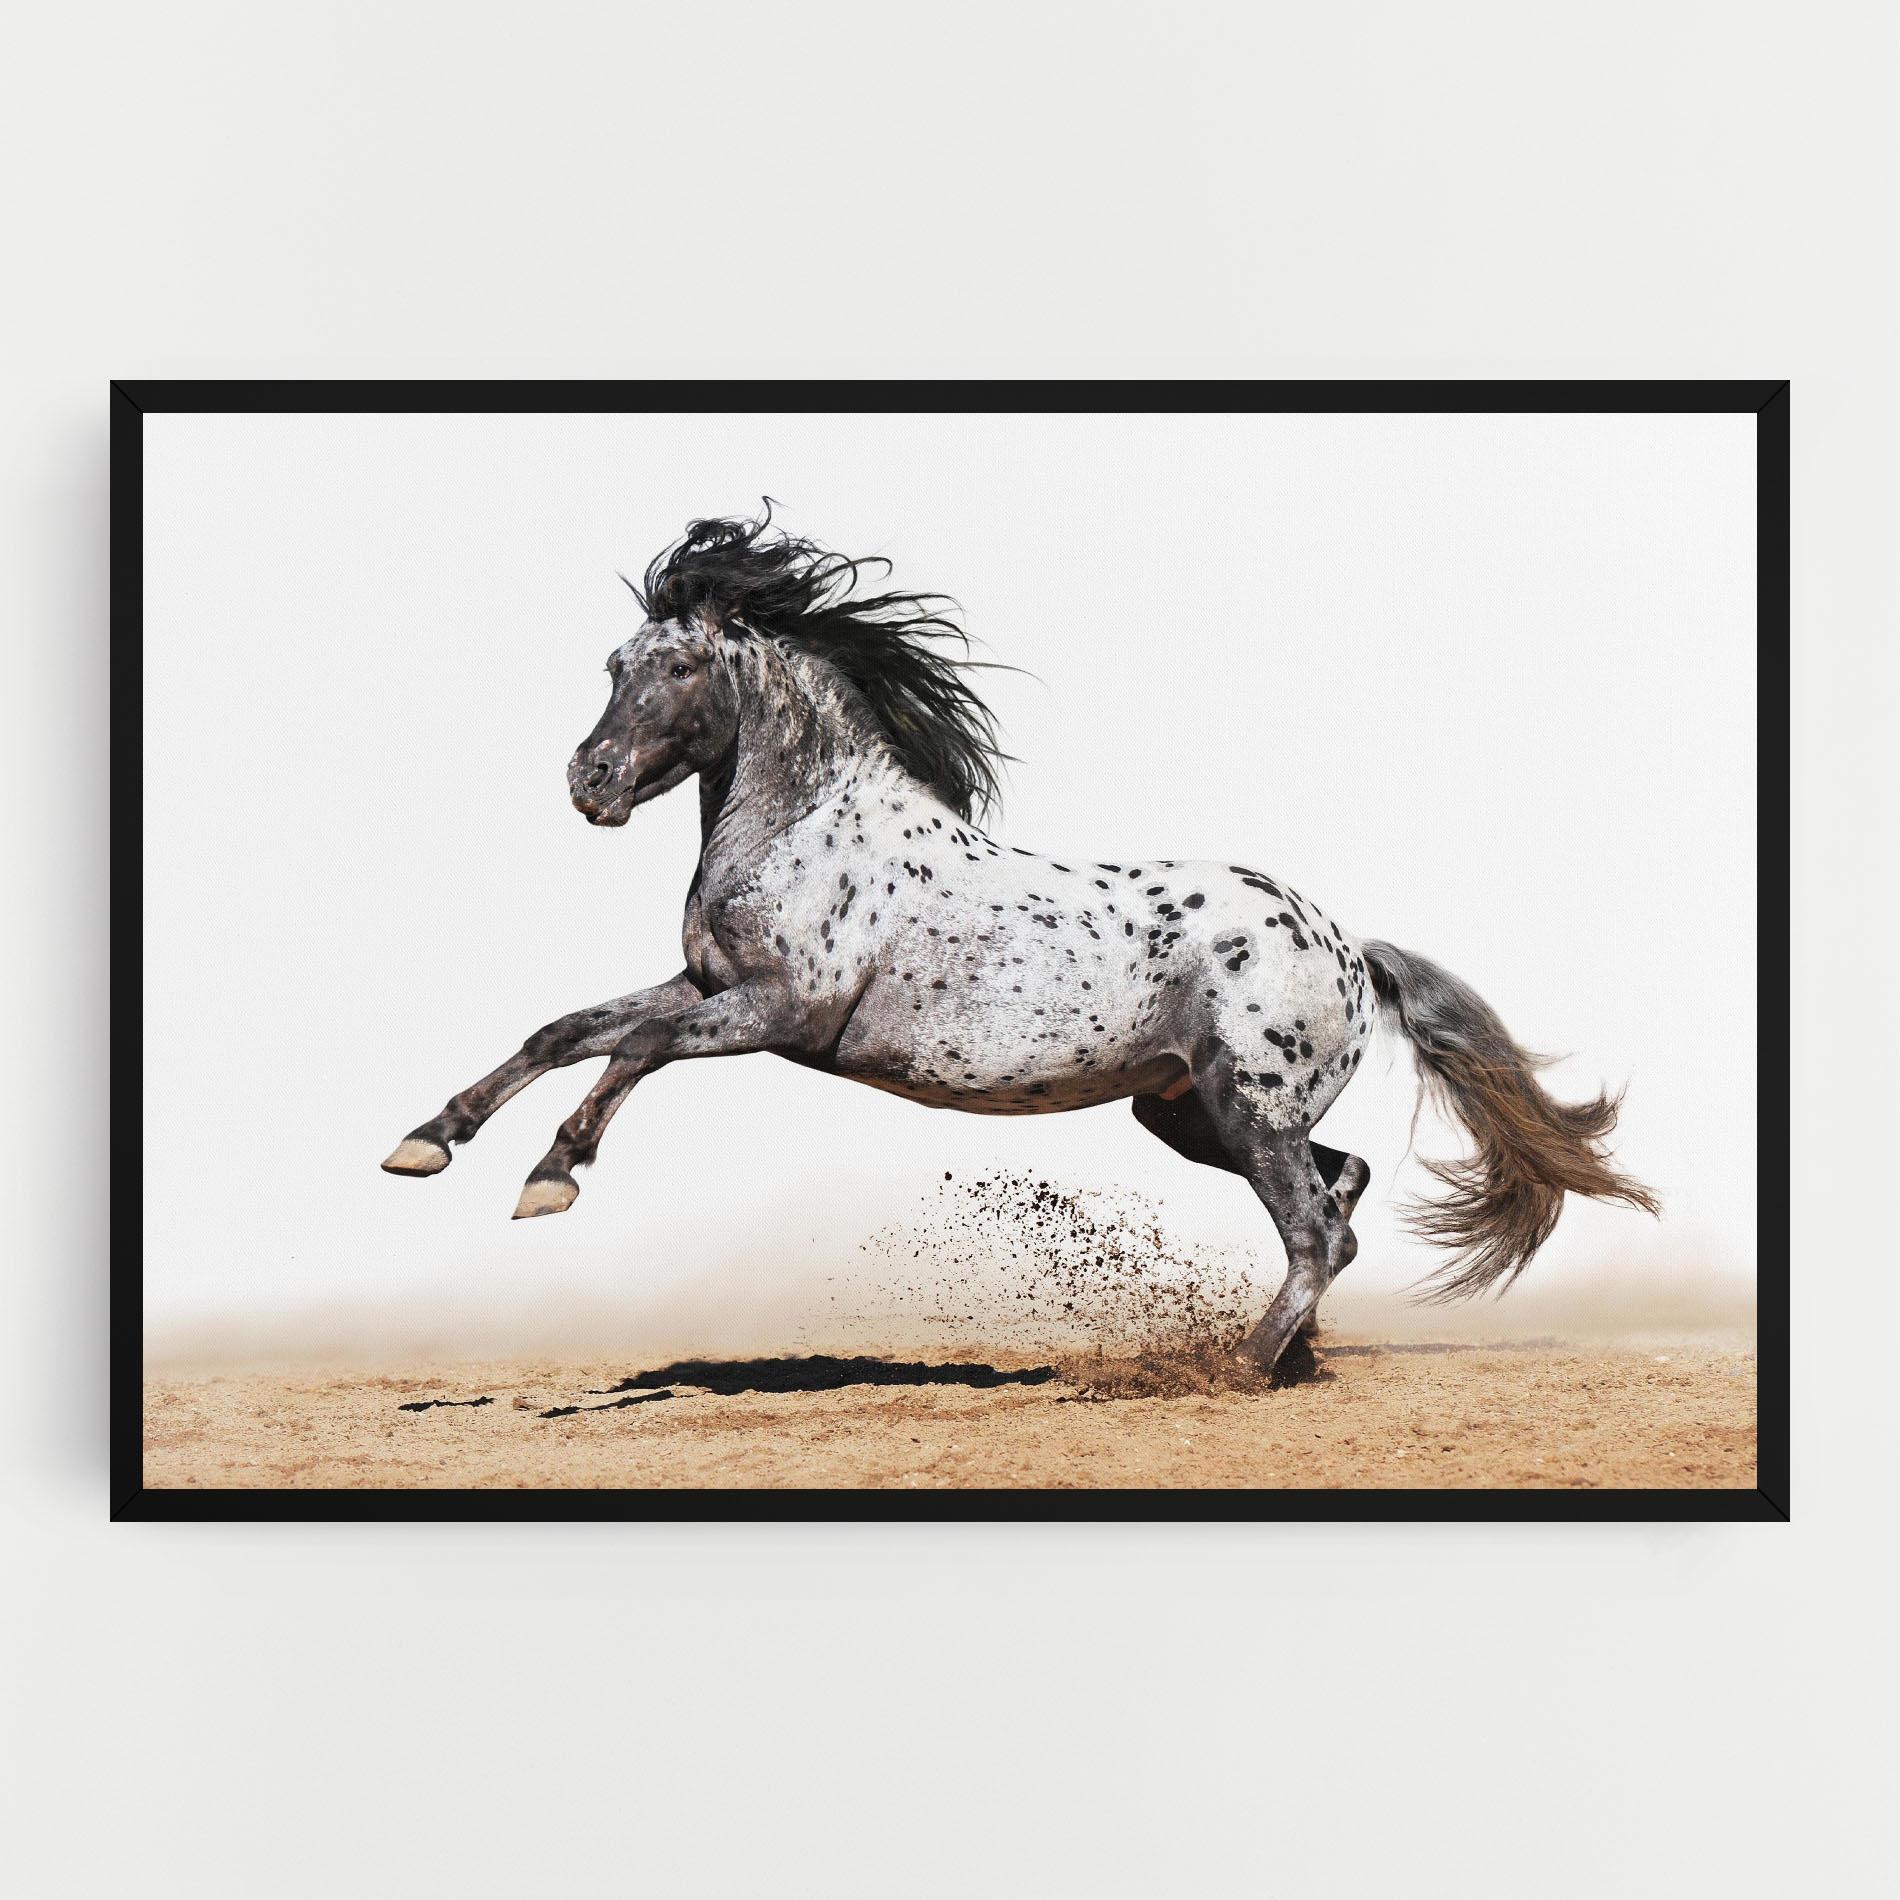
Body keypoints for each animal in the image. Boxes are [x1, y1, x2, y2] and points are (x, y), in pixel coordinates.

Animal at [382, 507, 1657, 1377]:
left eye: (683, 665)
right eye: (613, 666)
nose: (590, 784)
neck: (806, 827)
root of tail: (1347, 944)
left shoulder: (773, 1015)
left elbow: (634, 1051)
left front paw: (550, 1179)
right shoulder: (706, 983)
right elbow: (567, 1029)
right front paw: (426, 1143)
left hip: (1244, 1109)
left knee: (1312, 1229)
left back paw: (1236, 1370)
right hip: (1185, 1110)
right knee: (1337, 1195)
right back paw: (1291, 1355)